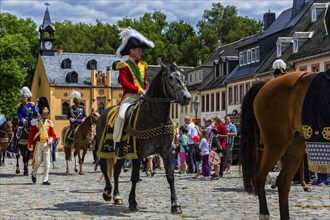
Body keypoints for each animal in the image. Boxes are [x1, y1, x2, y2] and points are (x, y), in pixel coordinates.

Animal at [95, 62, 191, 214]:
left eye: (183, 76)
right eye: (170, 77)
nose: (186, 97)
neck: (156, 117)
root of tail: (103, 112)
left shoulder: (166, 151)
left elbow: (170, 175)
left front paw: (175, 204)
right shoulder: (137, 153)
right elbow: (135, 177)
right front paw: (133, 202)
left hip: (121, 153)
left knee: (116, 170)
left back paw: (117, 196)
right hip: (104, 149)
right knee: (105, 168)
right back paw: (108, 192)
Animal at [240, 71, 330, 220]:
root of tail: (266, 84)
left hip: (295, 145)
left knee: (283, 182)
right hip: (276, 144)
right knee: (260, 174)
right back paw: (264, 212)